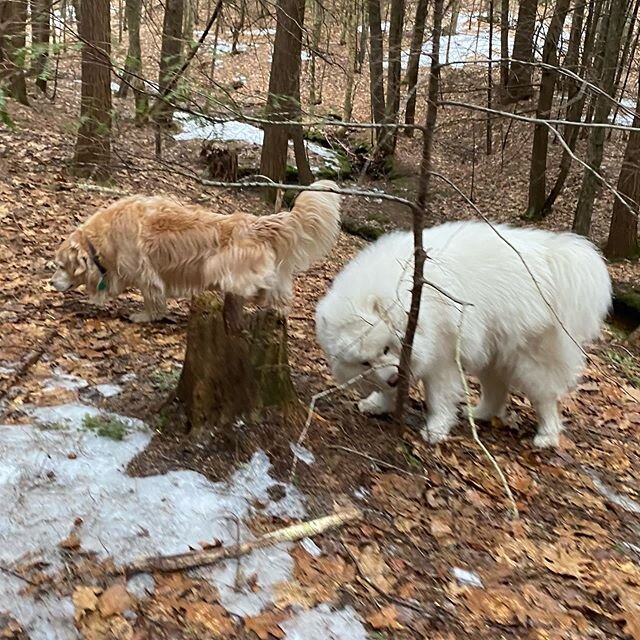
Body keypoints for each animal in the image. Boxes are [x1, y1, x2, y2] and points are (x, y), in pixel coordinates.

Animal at [318, 222, 612, 448]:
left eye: (386, 348)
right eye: (364, 362)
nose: (391, 378)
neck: (410, 298)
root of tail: (551, 256)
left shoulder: (441, 359)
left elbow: (438, 398)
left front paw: (435, 430)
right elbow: (390, 389)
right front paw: (379, 403)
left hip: (529, 361)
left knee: (546, 399)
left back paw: (546, 437)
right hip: (493, 355)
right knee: (497, 391)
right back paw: (478, 413)